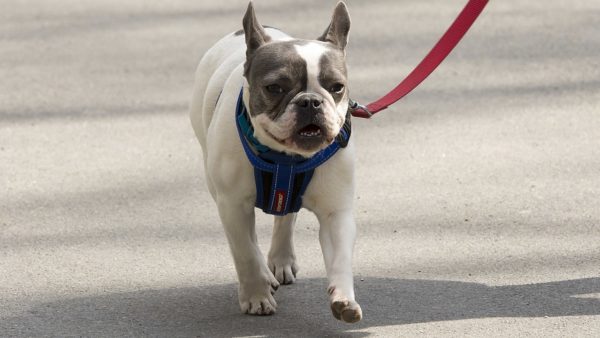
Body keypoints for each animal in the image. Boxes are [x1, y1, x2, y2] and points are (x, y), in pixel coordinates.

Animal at [190, 1, 364, 322]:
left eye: (337, 87)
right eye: (275, 88)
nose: (311, 101)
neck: (287, 159)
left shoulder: (336, 212)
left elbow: (340, 256)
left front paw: (344, 298)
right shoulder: (232, 205)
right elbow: (245, 251)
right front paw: (256, 295)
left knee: (286, 217)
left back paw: (281, 260)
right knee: (249, 239)